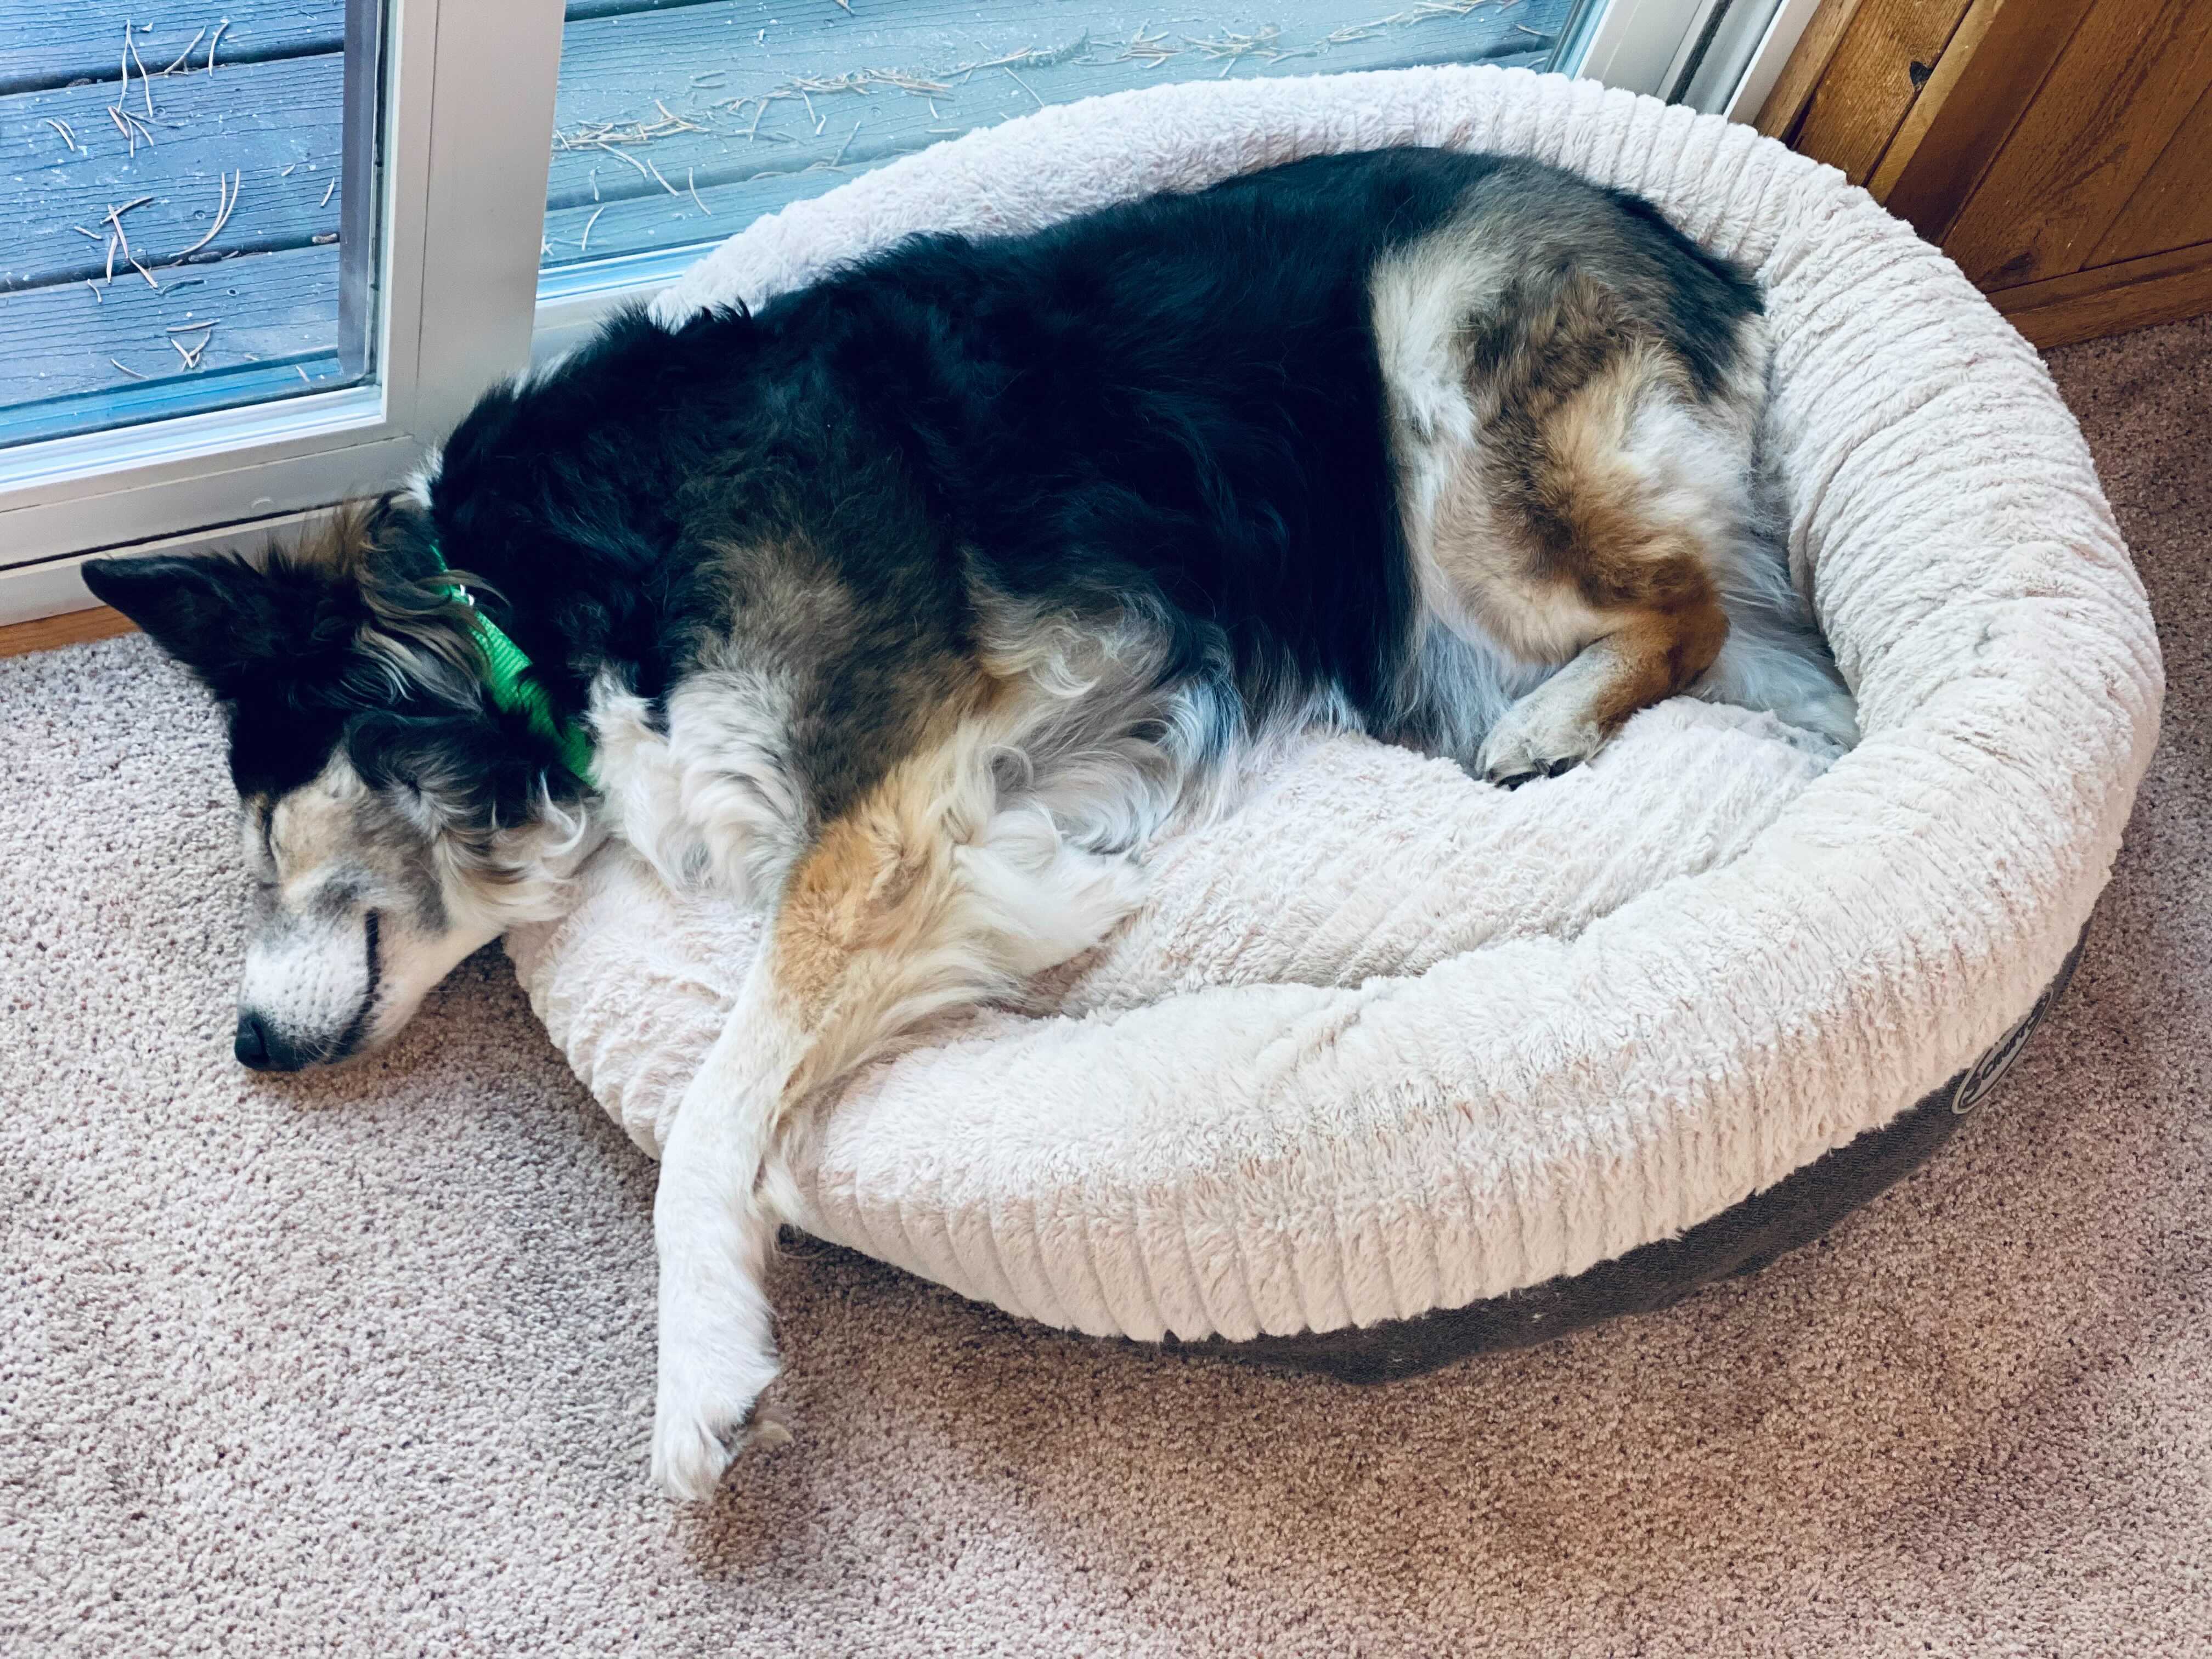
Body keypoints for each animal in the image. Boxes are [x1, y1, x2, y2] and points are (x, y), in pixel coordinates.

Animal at [82, 149, 1849, 1504]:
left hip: (1457, 441)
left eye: (265, 835)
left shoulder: (880, 808)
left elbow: (711, 1116)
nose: (247, 1048)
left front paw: (704, 1372)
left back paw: (1553, 727)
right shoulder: (937, 834)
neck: (523, 605)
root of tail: (1689, 247)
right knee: (1768, 659)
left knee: (1681, 609)